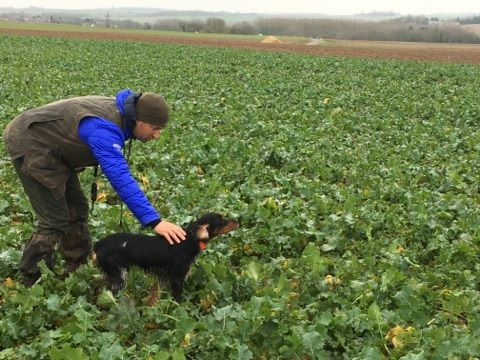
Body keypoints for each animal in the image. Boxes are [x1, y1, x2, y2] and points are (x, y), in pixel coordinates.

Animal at [93, 212, 239, 302]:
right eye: (222, 221)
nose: (238, 221)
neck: (189, 240)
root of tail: (99, 244)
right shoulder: (176, 278)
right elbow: (177, 300)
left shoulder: (162, 279)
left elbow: (154, 299)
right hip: (119, 276)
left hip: (110, 274)